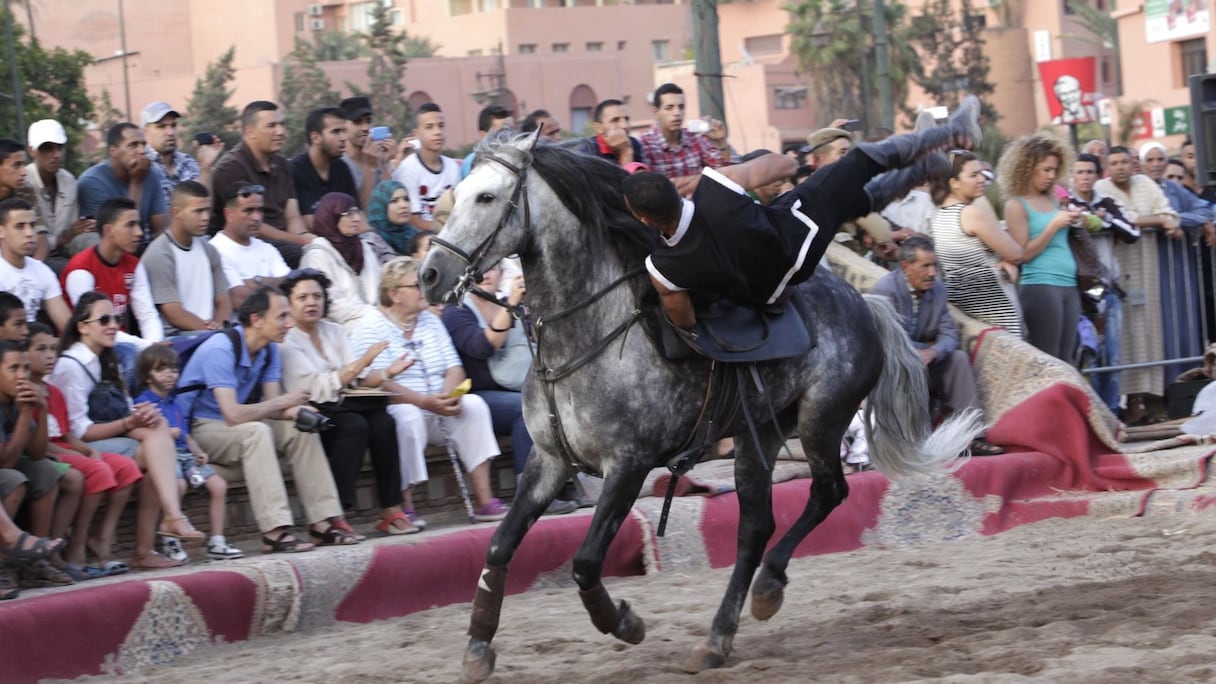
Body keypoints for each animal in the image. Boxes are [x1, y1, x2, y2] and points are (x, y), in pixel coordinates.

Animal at [423, 130, 982, 676]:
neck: (590, 330)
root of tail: (865, 303)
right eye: (457, 192)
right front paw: (478, 646)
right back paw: (719, 637)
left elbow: (584, 562)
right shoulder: (550, 460)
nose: (430, 274)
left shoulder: (628, 464)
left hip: (820, 418)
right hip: (762, 435)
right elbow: (501, 544)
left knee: (828, 494)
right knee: (755, 527)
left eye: (487, 197)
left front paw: (624, 622)